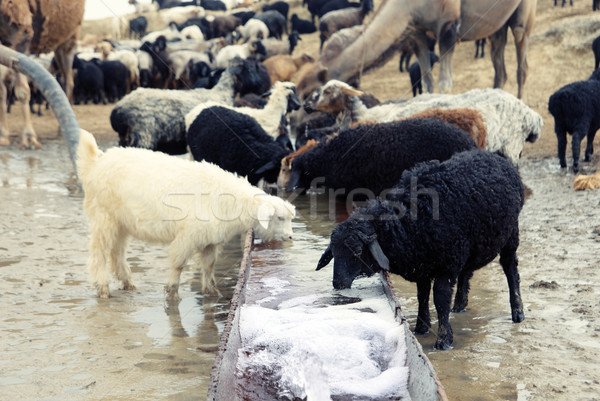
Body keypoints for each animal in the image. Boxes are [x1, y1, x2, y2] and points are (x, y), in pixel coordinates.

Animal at [0, 0, 85, 148]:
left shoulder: (22, 33)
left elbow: (22, 92)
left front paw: (29, 137)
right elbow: (1, 92)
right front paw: (3, 136)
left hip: (70, 38)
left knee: (68, 80)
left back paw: (63, 129)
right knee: (65, 78)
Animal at [76, 130, 296, 302]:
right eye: (279, 218)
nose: (290, 236)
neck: (228, 199)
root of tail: (96, 164)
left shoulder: (209, 240)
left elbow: (208, 265)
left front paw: (212, 291)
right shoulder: (188, 237)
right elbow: (178, 264)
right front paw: (172, 293)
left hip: (122, 223)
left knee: (117, 252)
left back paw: (127, 282)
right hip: (104, 217)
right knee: (99, 253)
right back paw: (103, 287)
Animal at [298, 0, 536, 99]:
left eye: (313, 91)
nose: (302, 110)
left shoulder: (448, 28)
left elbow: (444, 84)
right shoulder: (419, 33)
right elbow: (428, 82)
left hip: (522, 19)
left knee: (522, 64)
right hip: (496, 25)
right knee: (500, 67)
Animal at [318, 148, 524, 348]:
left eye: (357, 252)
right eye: (334, 252)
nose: (338, 283)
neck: (410, 220)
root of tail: (496, 156)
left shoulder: (446, 265)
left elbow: (440, 300)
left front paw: (443, 340)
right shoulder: (424, 264)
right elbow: (422, 296)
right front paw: (420, 328)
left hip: (511, 234)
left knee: (510, 269)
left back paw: (517, 311)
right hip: (470, 246)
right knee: (467, 271)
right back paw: (460, 305)